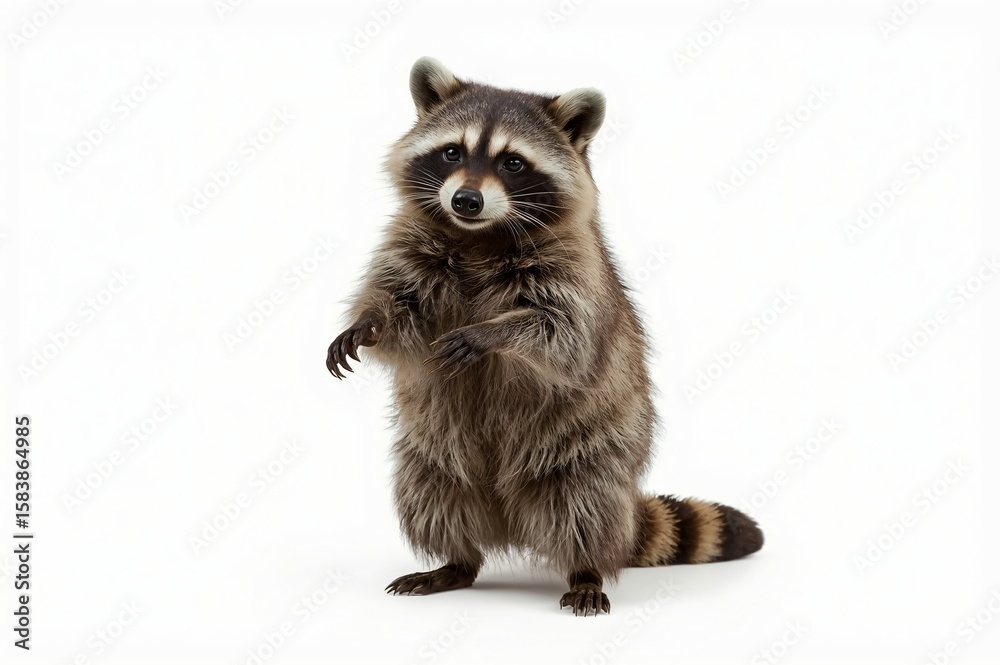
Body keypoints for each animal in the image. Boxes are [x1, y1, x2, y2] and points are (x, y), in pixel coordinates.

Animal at [326, 57, 763, 616]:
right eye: (452, 152)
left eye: (513, 163)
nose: (465, 200)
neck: (480, 235)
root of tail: (508, 518)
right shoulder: (411, 244)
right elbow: (398, 307)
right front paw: (367, 322)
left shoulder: (576, 268)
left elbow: (564, 335)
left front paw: (494, 332)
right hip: (433, 448)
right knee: (434, 489)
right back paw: (456, 561)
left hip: (590, 451)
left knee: (585, 505)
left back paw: (585, 570)